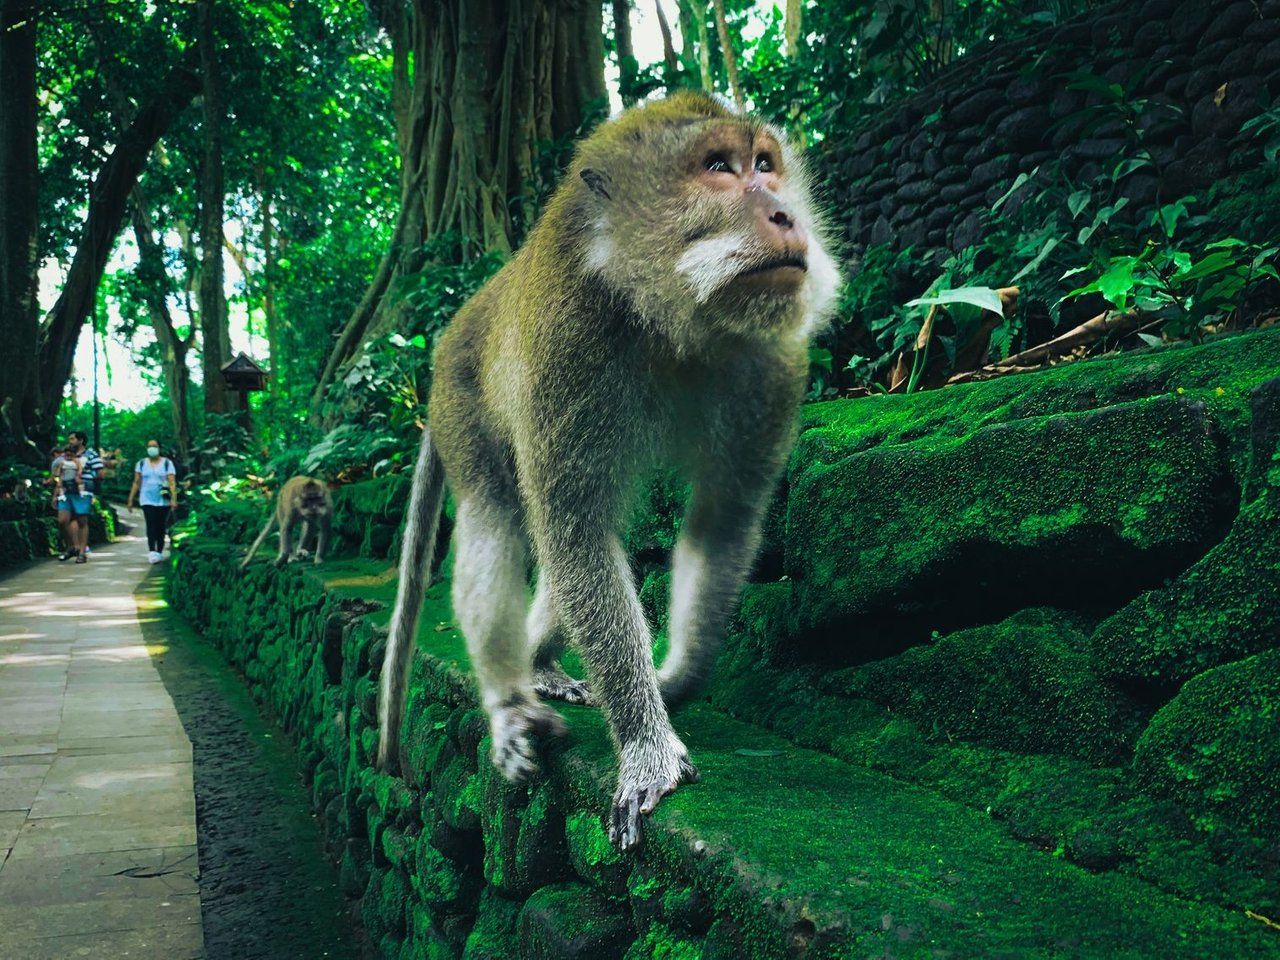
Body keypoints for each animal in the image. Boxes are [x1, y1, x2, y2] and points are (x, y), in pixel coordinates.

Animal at [376, 91, 839, 850]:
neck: (666, 314)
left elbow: (720, 523)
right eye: (718, 167)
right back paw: (509, 700)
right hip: (459, 404)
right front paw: (646, 743)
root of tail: (453, 328)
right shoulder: (568, 345)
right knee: (496, 522)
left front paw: (675, 678)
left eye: (766, 164)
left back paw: (541, 664)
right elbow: (578, 534)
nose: (785, 215)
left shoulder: (773, 363)